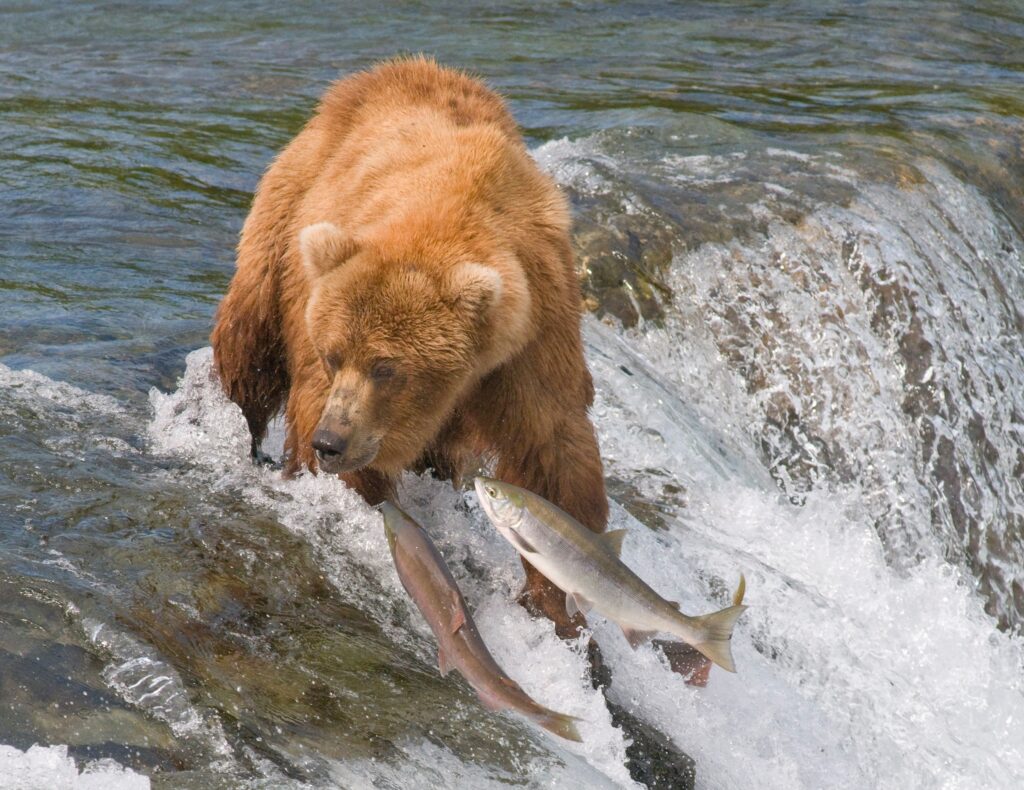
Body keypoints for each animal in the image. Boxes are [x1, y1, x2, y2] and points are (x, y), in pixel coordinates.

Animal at [210, 57, 608, 637]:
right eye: (334, 355)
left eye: (386, 367)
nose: (332, 441)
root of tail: (384, 71)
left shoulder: (532, 335)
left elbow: (552, 453)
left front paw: (558, 603)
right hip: (287, 217)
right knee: (250, 343)